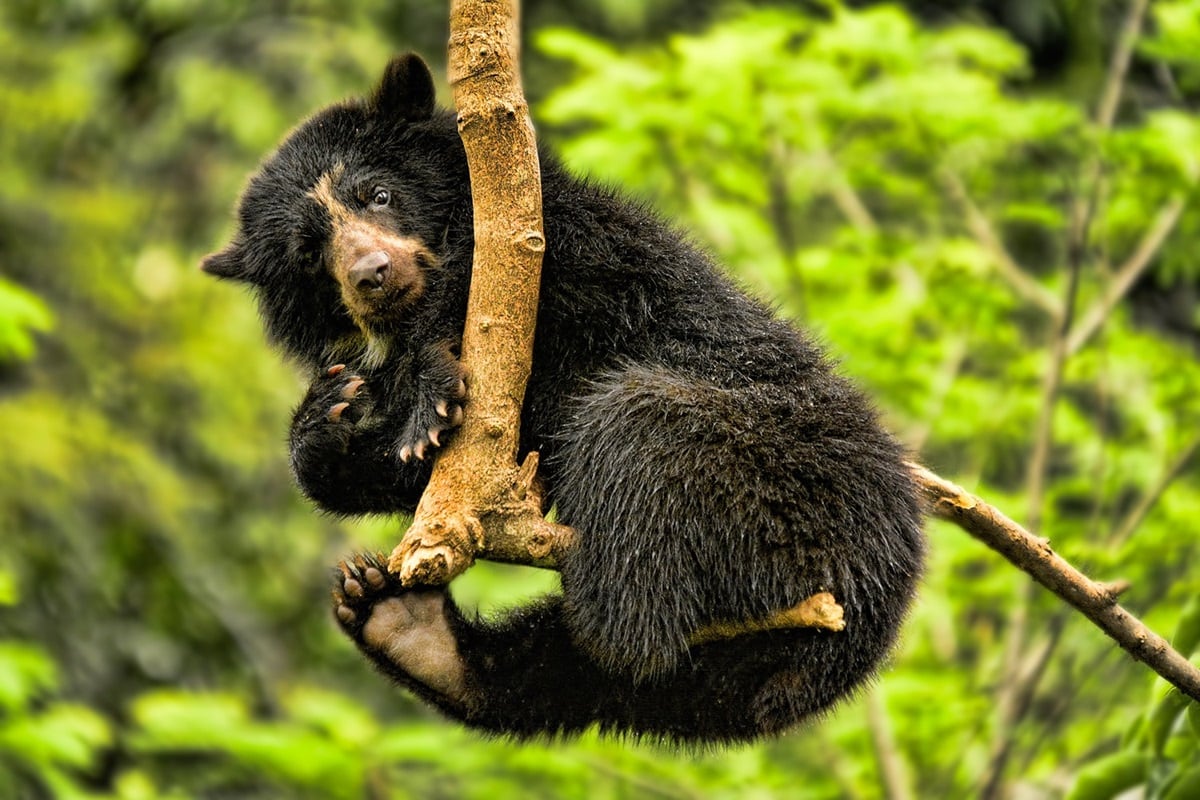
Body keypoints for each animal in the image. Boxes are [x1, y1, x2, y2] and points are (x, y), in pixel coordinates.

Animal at [202, 53, 925, 744]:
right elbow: (453, 473)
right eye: (309, 251)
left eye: (377, 194)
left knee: (637, 430)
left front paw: (427, 386)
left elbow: (537, 285)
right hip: (730, 655)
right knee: (594, 677)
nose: (373, 275)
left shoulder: (577, 246)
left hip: (785, 477)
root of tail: (883, 599)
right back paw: (403, 624)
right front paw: (334, 414)